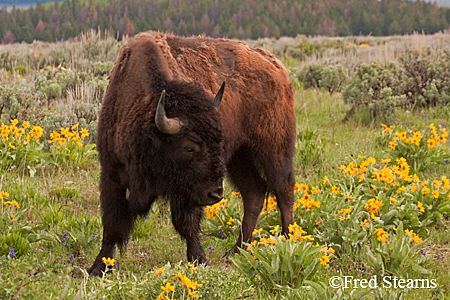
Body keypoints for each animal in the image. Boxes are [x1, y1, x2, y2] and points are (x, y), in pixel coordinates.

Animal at [89, 31, 298, 276]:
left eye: (218, 142)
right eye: (189, 147)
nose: (215, 194)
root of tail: (276, 67)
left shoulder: (187, 191)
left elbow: (187, 225)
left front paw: (199, 261)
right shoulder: (112, 174)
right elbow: (111, 224)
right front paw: (98, 267)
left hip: (274, 148)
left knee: (284, 189)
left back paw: (288, 240)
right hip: (240, 158)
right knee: (254, 192)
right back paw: (236, 251)